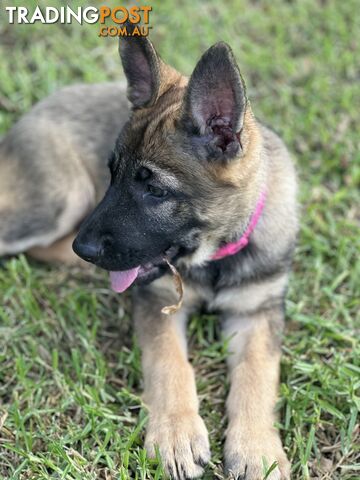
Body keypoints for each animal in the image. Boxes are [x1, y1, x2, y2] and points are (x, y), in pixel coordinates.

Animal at [0, 31, 298, 478]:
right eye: (112, 174)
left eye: (154, 190)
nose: (84, 250)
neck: (215, 257)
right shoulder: (158, 302)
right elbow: (170, 364)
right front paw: (176, 435)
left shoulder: (258, 312)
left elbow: (258, 375)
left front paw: (257, 450)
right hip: (59, 200)